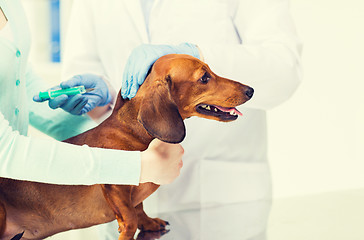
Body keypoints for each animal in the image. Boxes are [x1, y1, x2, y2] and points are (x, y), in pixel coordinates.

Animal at [0, 54, 253, 240]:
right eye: (204, 78)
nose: (250, 90)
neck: (133, 132)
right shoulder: (115, 187)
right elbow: (130, 217)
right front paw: (127, 232)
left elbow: (139, 207)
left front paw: (150, 223)